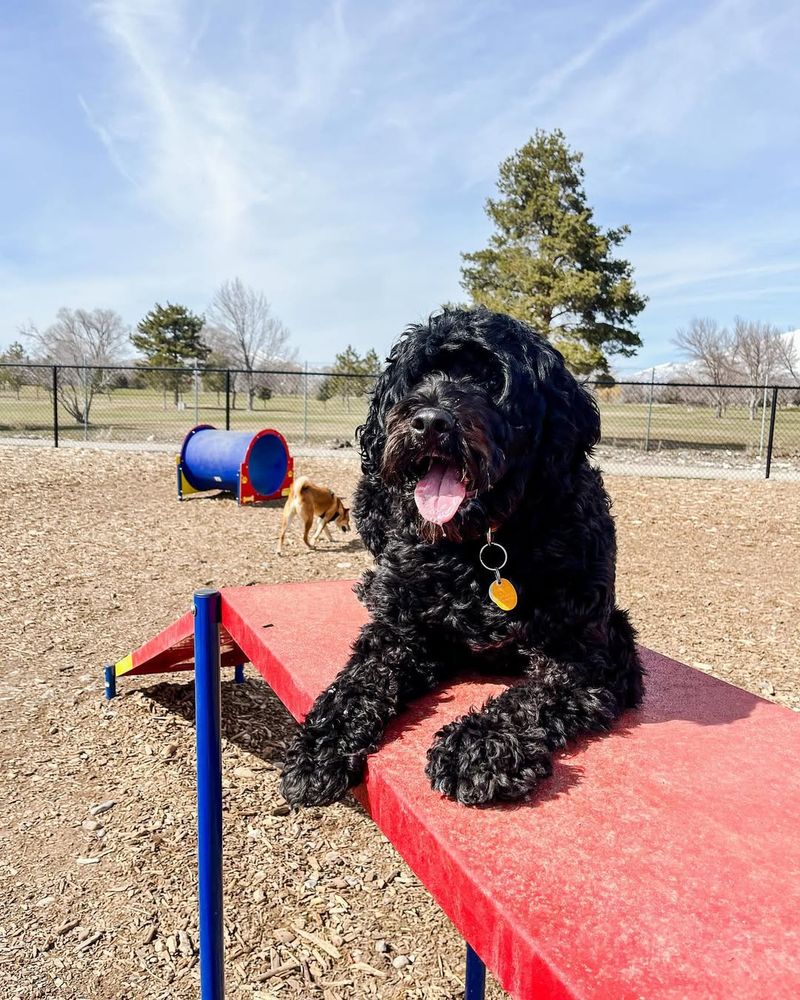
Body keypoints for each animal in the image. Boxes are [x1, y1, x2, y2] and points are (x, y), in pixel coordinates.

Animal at [282, 308, 644, 808]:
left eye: (493, 381)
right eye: (419, 376)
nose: (430, 422)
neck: (481, 546)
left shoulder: (594, 654)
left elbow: (530, 699)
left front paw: (478, 746)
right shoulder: (403, 631)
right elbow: (359, 679)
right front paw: (319, 744)